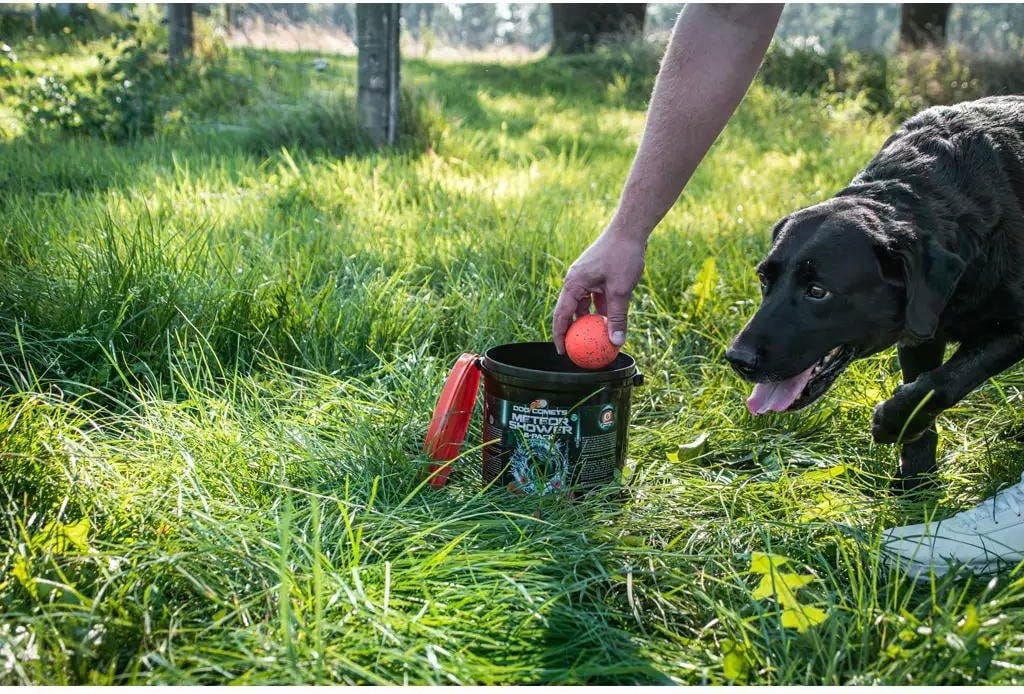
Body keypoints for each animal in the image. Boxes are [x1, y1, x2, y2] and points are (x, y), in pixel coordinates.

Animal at [725, 96, 1024, 489]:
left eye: (817, 291)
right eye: (764, 280)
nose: (737, 359)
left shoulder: (1013, 330)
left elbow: (944, 382)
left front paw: (890, 424)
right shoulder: (919, 335)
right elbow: (923, 387)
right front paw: (915, 481)